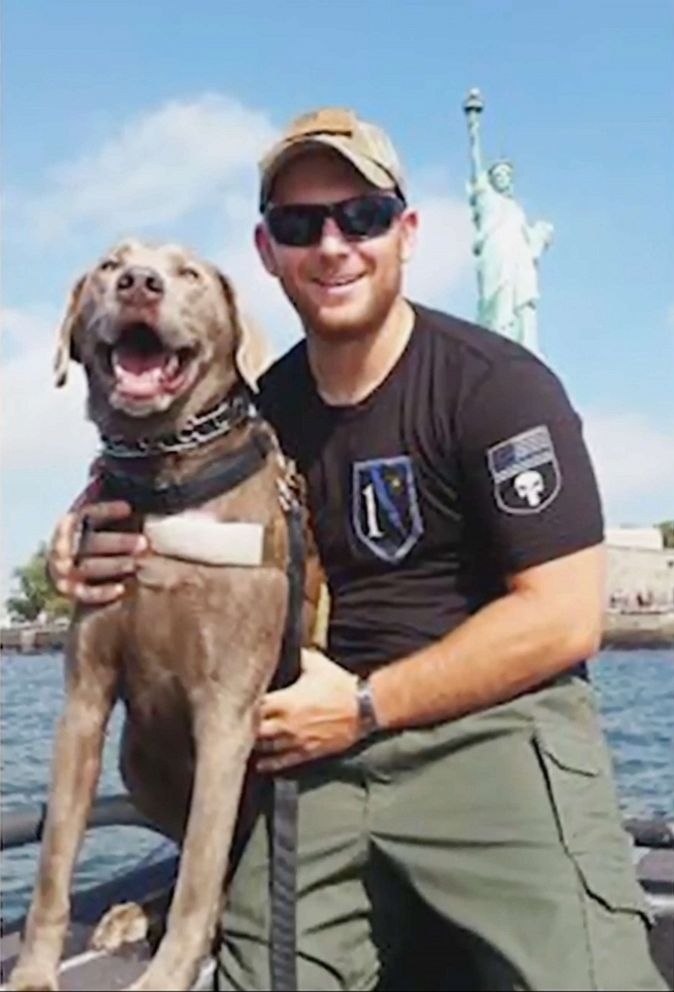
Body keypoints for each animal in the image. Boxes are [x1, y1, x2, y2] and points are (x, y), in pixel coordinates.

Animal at [9, 242, 320, 992]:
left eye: (191, 275)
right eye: (106, 264)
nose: (138, 283)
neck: (164, 475)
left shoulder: (228, 711)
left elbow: (203, 874)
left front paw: (172, 970)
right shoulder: (85, 698)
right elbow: (54, 862)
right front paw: (33, 972)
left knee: (217, 866)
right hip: (137, 759)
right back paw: (130, 915)